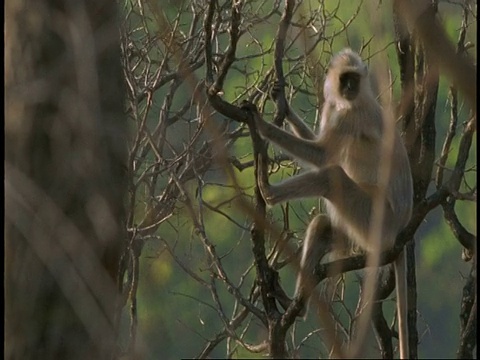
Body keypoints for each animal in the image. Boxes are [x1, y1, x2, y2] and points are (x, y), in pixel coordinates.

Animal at [251, 48, 412, 360]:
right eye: (345, 79)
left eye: (355, 79)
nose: (349, 88)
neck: (352, 101)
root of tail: (400, 227)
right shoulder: (334, 108)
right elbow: (318, 148)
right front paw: (281, 103)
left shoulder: (350, 114)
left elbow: (323, 156)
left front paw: (259, 124)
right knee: (322, 225)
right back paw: (294, 304)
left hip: (371, 216)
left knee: (330, 175)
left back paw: (269, 193)